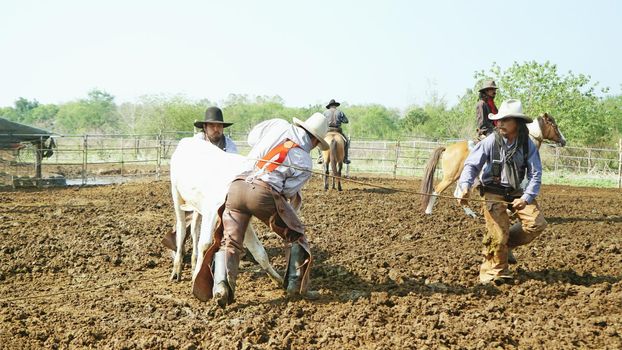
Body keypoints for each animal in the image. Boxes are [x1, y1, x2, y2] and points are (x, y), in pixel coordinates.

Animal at [169, 137, 284, 288]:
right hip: (176, 194)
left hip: (196, 207)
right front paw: (196, 279)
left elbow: (259, 251)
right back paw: (177, 269)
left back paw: (193, 262)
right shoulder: (210, 210)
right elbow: (205, 245)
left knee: (194, 229)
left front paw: (278, 279)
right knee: (182, 229)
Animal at [422, 113, 568, 216]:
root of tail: (447, 148)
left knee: (458, 195)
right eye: (555, 126)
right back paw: (428, 212)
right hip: (450, 177)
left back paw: (471, 214)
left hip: (462, 178)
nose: (564, 141)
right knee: (437, 190)